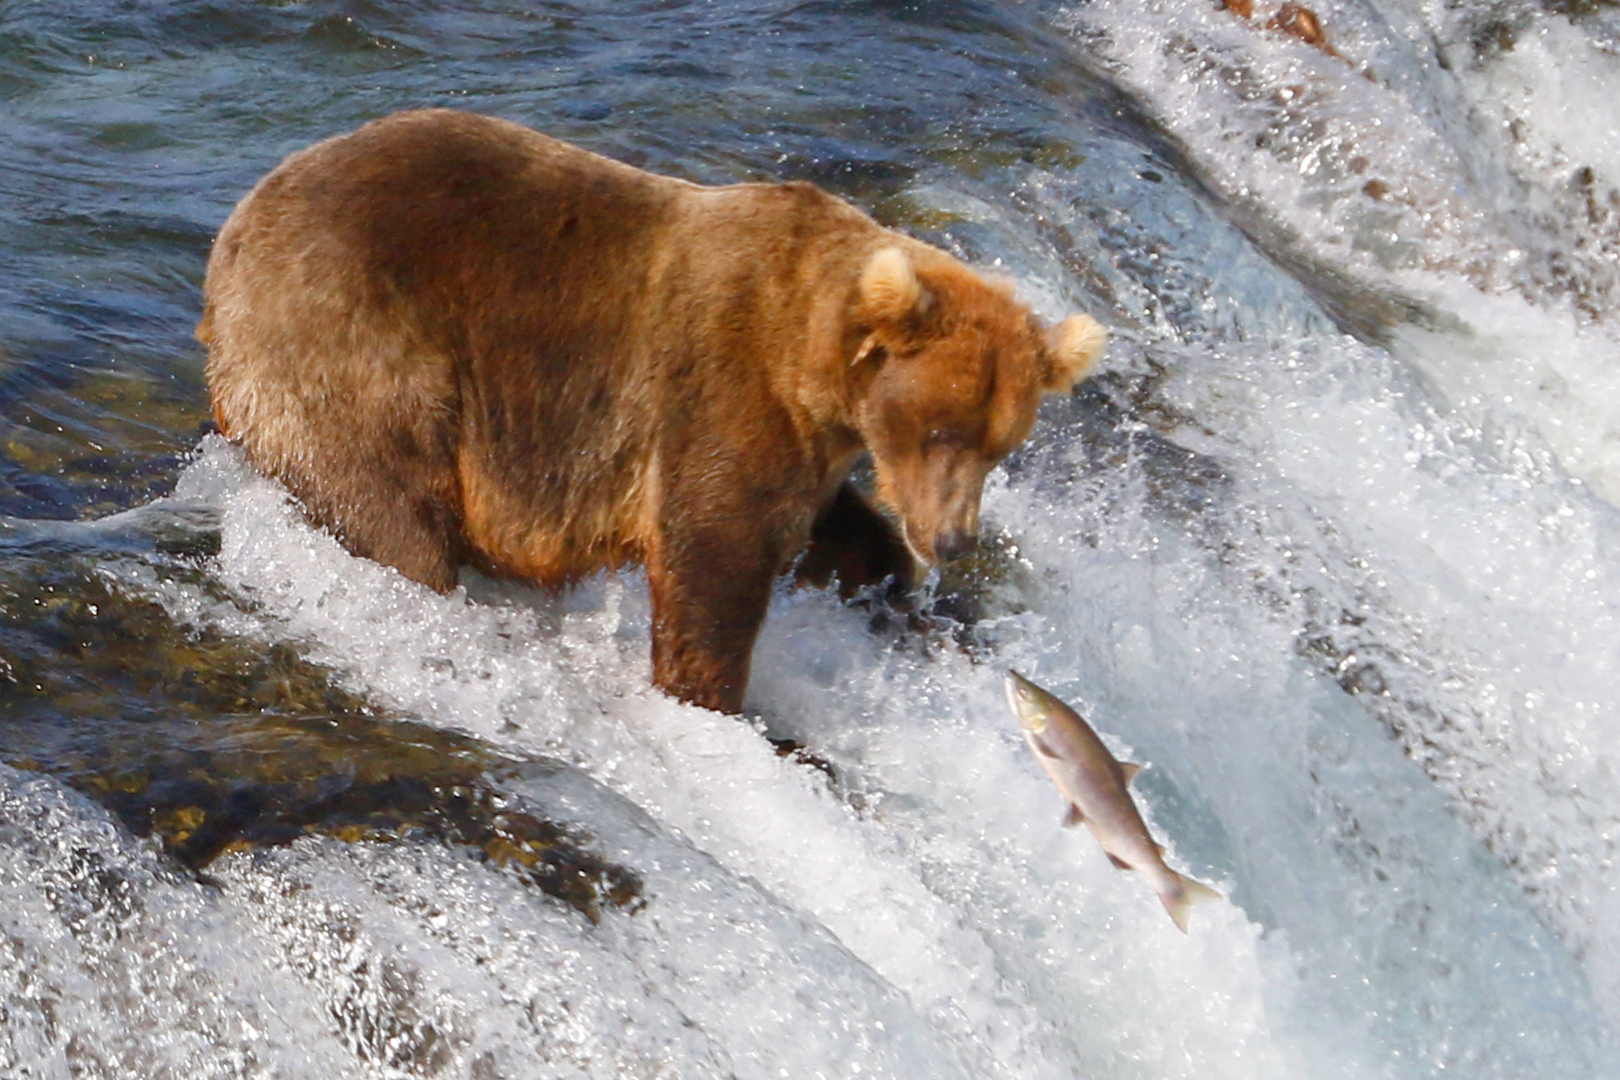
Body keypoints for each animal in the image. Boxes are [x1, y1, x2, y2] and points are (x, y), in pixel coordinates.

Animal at [196, 110, 1108, 718]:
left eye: (1001, 445)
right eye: (941, 430)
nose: (953, 539)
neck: (812, 364)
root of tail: (233, 234)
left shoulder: (810, 447)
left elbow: (831, 530)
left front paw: (899, 586)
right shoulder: (723, 395)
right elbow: (715, 559)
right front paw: (709, 696)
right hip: (356, 348)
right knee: (391, 517)